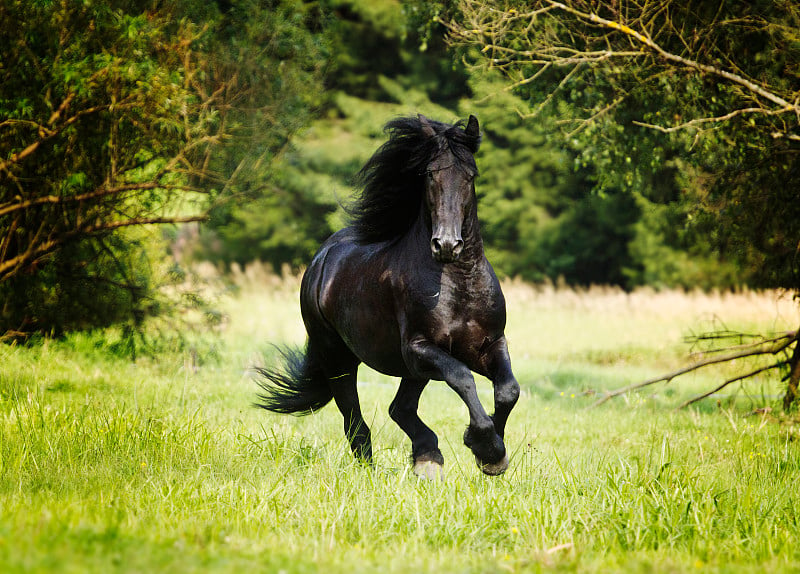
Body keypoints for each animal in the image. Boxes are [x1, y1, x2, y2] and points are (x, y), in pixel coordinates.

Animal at [253, 116, 520, 476]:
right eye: (429, 174)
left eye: (470, 175)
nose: (447, 244)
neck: (458, 284)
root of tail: (321, 260)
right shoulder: (420, 349)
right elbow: (463, 378)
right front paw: (485, 446)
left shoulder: (488, 344)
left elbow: (508, 390)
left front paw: (492, 455)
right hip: (338, 358)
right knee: (356, 421)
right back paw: (375, 468)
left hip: (409, 371)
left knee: (399, 409)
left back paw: (427, 458)